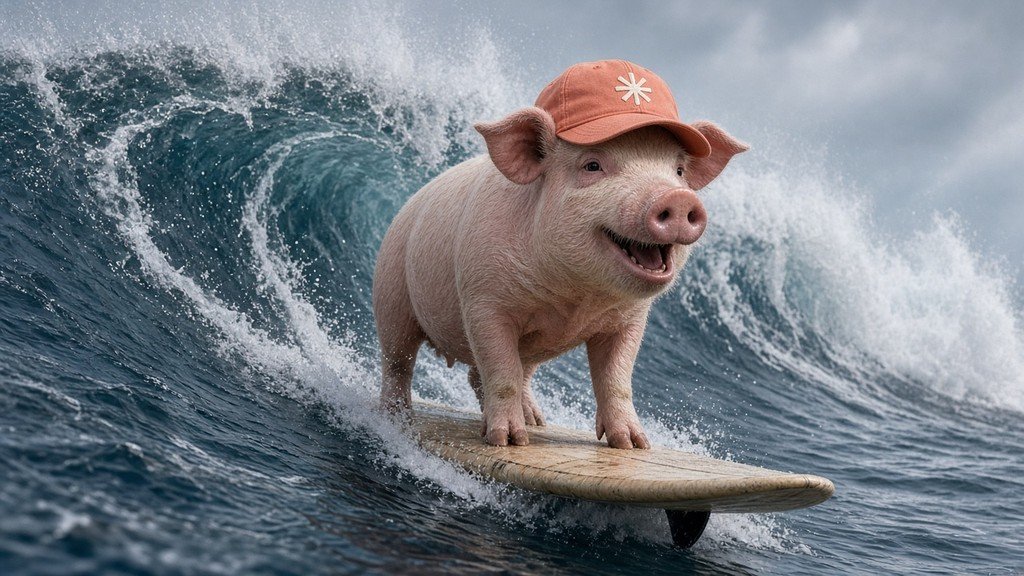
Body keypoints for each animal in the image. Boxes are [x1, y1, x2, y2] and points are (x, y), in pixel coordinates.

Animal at [373, 60, 747, 448]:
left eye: (678, 171)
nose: (677, 197)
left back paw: (536, 421)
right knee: (399, 361)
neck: (572, 301)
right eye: (592, 166)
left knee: (490, 374)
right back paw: (398, 416)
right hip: (390, 293)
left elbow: (617, 378)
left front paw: (634, 445)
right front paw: (509, 441)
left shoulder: (629, 320)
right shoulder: (482, 301)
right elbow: (501, 368)